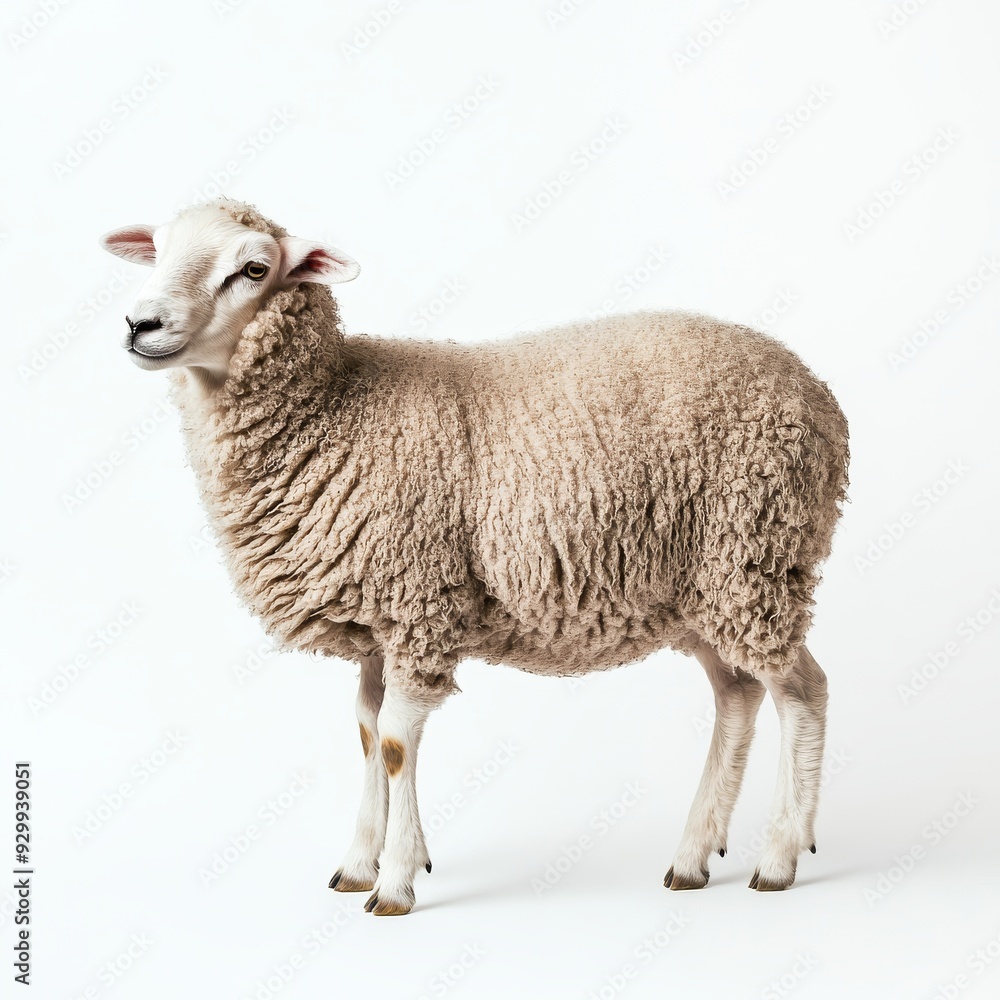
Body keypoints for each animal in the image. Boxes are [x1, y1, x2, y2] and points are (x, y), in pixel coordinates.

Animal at [100, 198, 849, 916]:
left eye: (253, 268)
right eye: (158, 251)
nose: (139, 323)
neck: (339, 407)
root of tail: (818, 394)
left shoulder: (418, 604)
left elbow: (396, 743)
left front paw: (395, 882)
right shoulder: (377, 625)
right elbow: (368, 733)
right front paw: (361, 861)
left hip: (753, 555)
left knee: (802, 691)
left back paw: (779, 857)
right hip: (702, 589)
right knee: (738, 694)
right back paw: (693, 856)